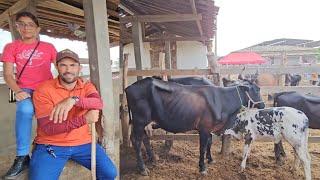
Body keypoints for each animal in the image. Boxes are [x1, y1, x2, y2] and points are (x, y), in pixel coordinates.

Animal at [125, 76, 264, 175]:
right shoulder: (204, 128)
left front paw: (210, 159)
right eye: (257, 89)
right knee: (136, 140)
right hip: (139, 120)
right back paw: (143, 169)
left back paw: (152, 158)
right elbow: (202, 147)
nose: (263, 105)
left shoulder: (209, 128)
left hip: (143, 121)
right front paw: (202, 168)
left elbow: (209, 143)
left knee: (144, 137)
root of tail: (128, 87)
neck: (222, 101)